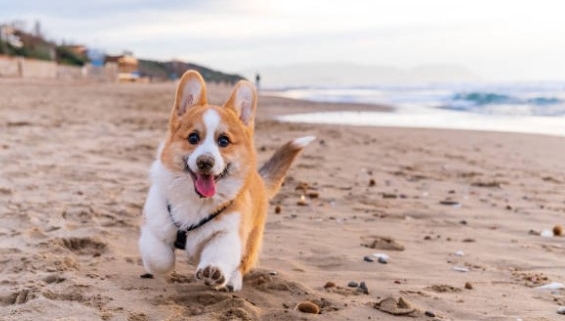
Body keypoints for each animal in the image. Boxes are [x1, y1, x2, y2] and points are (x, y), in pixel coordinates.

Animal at [137, 69, 312, 290]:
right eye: (193, 138)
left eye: (224, 141)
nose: (205, 162)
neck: (197, 200)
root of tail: (259, 178)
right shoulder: (155, 226)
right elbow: (160, 258)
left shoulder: (228, 233)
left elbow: (220, 255)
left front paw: (214, 272)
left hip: (252, 238)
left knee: (243, 263)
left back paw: (232, 280)